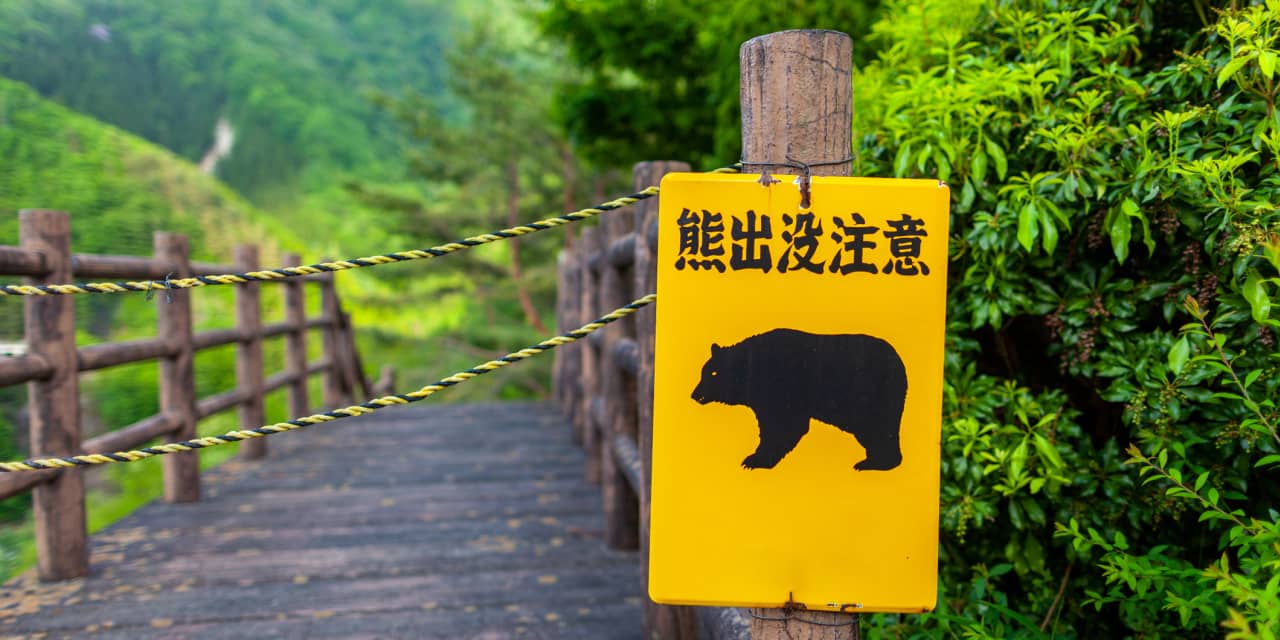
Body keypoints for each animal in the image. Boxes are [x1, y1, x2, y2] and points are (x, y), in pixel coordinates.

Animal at [691, 329, 907, 471]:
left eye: (713, 373)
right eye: (703, 372)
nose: (694, 394)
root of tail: (899, 361)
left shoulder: (783, 389)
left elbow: (784, 426)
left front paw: (755, 460)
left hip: (871, 397)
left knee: (879, 429)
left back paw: (875, 463)